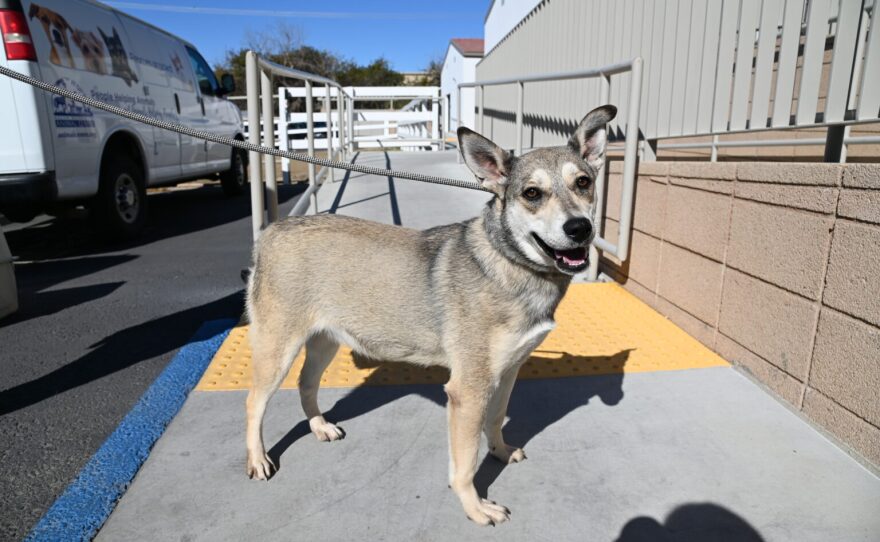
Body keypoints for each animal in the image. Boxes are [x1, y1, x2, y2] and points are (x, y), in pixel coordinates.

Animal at [246, 104, 620, 524]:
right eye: (532, 194)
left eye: (584, 182)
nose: (580, 228)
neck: (509, 263)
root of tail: (273, 231)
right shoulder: (468, 390)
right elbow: (465, 463)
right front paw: (475, 506)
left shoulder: (508, 372)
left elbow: (496, 420)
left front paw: (501, 451)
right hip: (277, 350)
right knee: (254, 402)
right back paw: (258, 459)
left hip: (325, 342)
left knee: (306, 385)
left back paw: (319, 426)